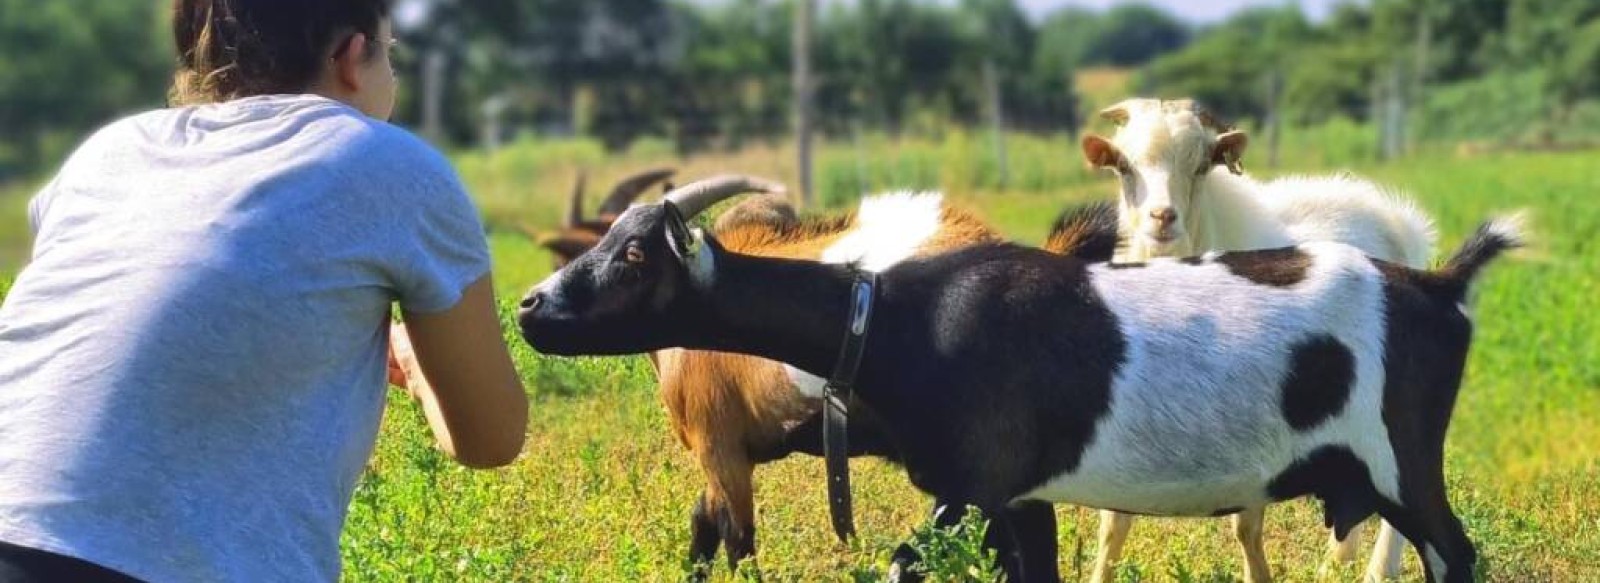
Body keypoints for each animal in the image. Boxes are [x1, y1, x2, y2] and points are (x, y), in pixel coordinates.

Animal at [518, 183, 1516, 583]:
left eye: (636, 254)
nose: (531, 306)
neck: (888, 318)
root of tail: (1437, 285)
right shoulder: (1022, 498)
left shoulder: (975, 485)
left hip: (1403, 464)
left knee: (1453, 552)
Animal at [1075, 98, 1440, 579]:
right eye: (1123, 165)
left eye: (1201, 166)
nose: (1162, 217)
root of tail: (1396, 219)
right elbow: (1113, 523)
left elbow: (1245, 526)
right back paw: (1336, 561)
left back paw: (1379, 569)